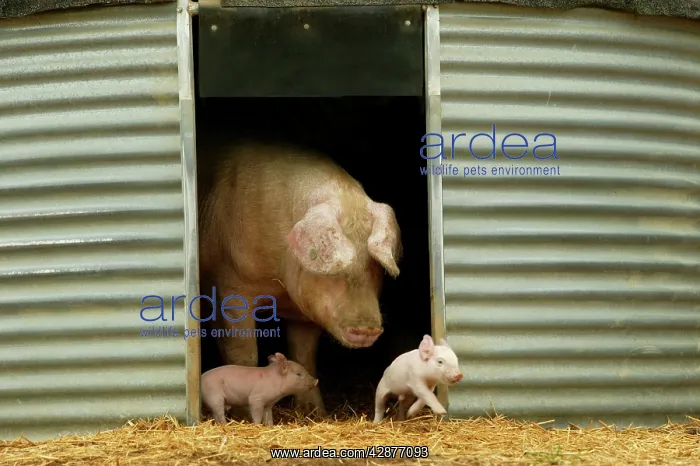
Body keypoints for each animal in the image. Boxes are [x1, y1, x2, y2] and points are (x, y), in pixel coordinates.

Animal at [198, 141, 402, 417]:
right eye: (337, 268)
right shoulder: (229, 286)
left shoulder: (304, 311)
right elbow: (243, 353)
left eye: (373, 266)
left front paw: (315, 413)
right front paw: (244, 416)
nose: (367, 328)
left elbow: (304, 354)